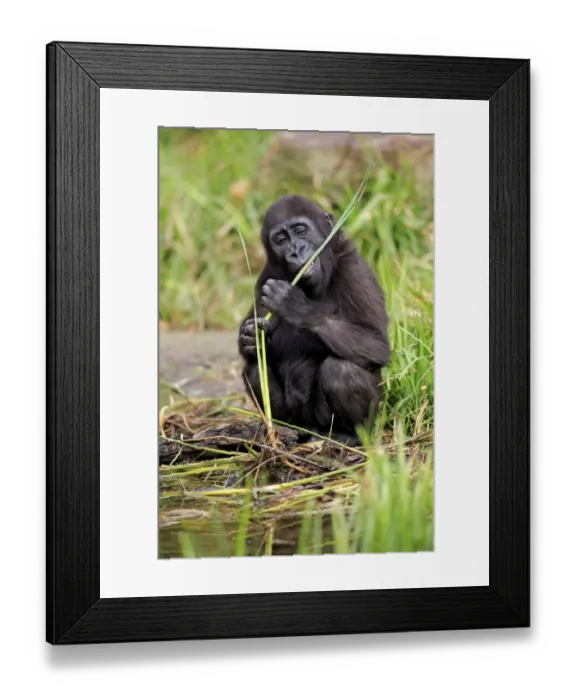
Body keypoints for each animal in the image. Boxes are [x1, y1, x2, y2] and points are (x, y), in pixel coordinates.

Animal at [238, 194, 390, 442]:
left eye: (301, 230)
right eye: (281, 239)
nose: (295, 250)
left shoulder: (353, 268)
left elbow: (377, 343)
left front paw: (296, 307)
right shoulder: (267, 273)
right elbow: (253, 345)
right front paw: (252, 338)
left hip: (332, 421)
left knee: (343, 370)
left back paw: (351, 435)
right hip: (299, 418)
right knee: (253, 366)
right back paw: (284, 429)